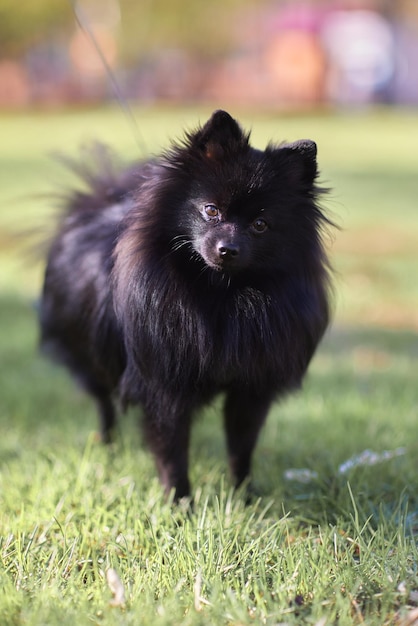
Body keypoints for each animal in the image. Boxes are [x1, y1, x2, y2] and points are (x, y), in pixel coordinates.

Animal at [40, 108, 334, 498]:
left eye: (260, 224)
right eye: (211, 210)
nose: (228, 249)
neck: (220, 295)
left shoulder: (250, 388)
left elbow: (241, 448)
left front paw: (245, 497)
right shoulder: (164, 388)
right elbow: (172, 452)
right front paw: (180, 502)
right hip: (93, 357)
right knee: (105, 404)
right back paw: (108, 447)